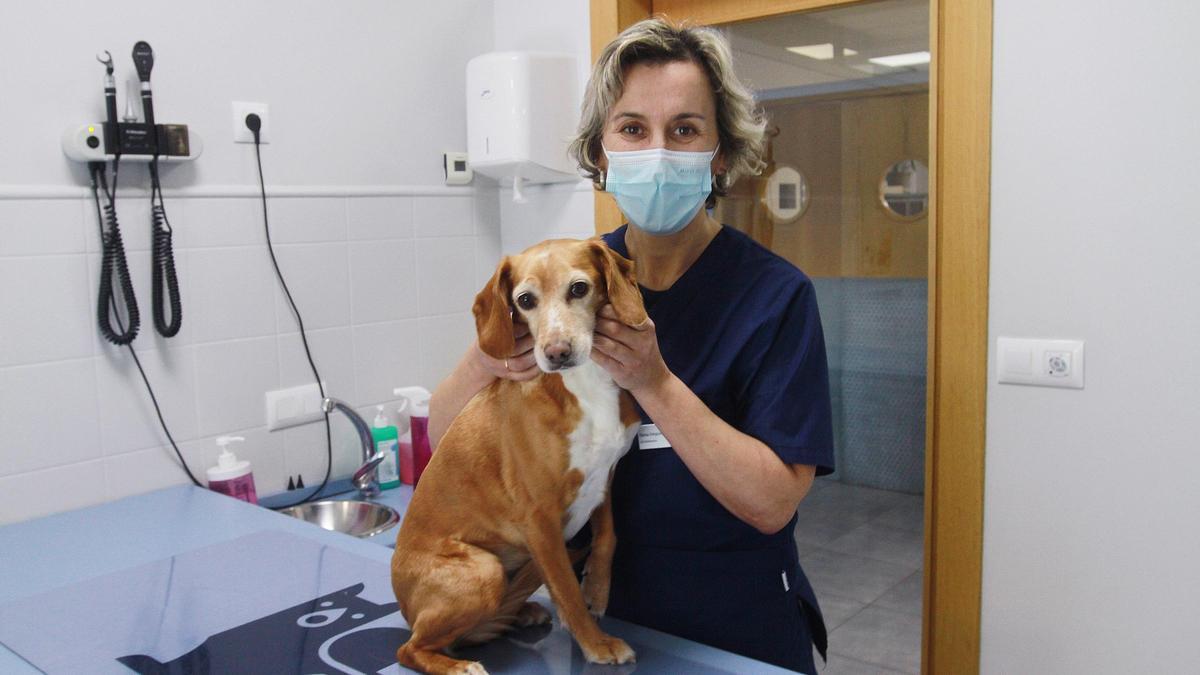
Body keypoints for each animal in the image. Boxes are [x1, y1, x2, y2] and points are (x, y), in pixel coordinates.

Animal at [391, 237, 648, 672]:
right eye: (525, 300)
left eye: (579, 288)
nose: (556, 352)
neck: (583, 388)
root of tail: (406, 608)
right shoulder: (539, 518)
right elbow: (565, 588)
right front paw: (597, 644)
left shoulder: (604, 478)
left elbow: (608, 535)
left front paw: (597, 588)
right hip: (484, 571)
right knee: (410, 649)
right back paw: (457, 664)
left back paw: (519, 612)